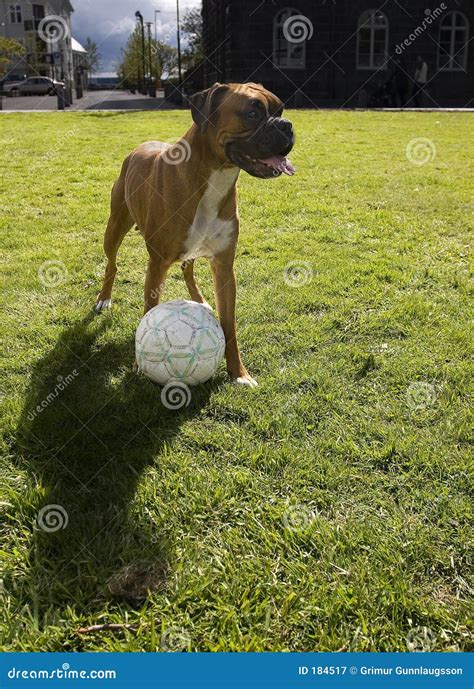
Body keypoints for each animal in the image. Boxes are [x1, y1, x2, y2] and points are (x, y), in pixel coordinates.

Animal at [94, 80, 294, 388]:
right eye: (252, 112)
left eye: (281, 110)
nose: (287, 125)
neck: (214, 175)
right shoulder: (157, 264)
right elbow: (149, 311)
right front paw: (139, 365)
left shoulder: (224, 266)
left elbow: (229, 325)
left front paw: (239, 373)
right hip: (114, 227)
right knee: (112, 264)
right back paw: (104, 298)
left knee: (187, 268)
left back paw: (198, 300)